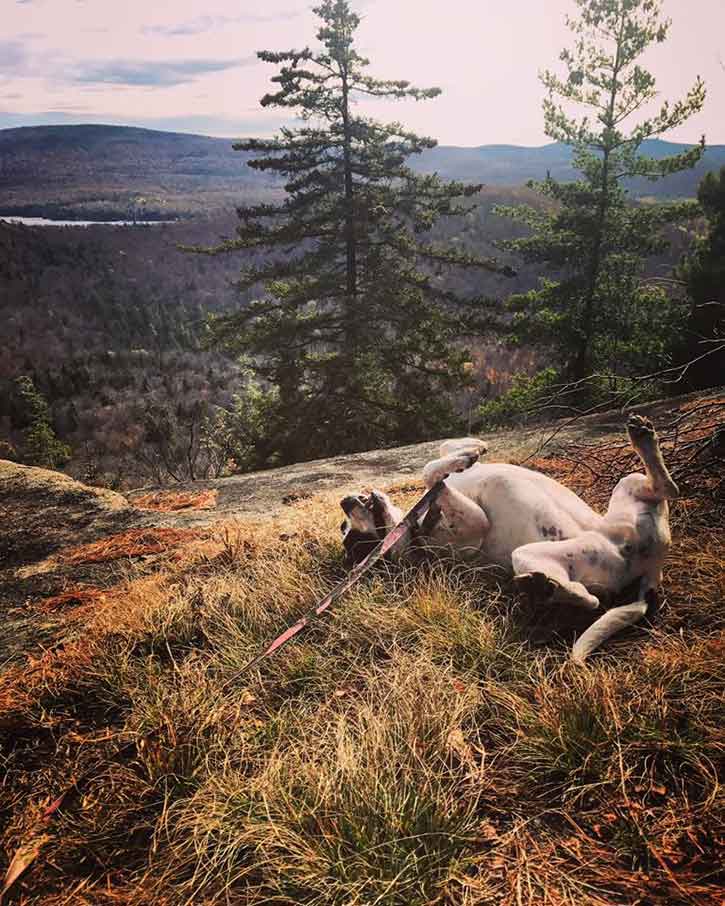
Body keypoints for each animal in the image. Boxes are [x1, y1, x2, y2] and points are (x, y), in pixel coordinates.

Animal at [340, 414, 680, 660]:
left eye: (347, 531)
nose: (344, 501)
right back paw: (549, 588)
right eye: (357, 544)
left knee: (667, 488)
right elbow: (429, 473)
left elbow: (443, 452)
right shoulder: (474, 524)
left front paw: (470, 450)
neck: (415, 526)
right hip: (543, 554)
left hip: (630, 484)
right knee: (591, 599)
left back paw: (643, 437)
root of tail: (649, 573)